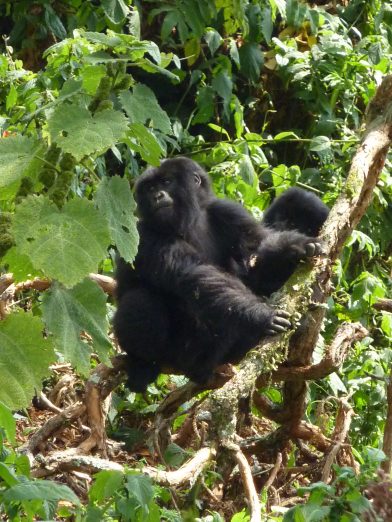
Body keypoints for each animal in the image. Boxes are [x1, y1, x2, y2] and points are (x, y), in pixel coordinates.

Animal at [113, 156, 328, 388]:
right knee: (139, 299)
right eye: (150, 188)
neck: (192, 219)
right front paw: (263, 316)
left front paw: (294, 247)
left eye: (167, 182)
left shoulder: (229, 212)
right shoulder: (144, 235)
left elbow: (258, 262)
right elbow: (197, 274)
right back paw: (142, 362)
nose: (156, 196)